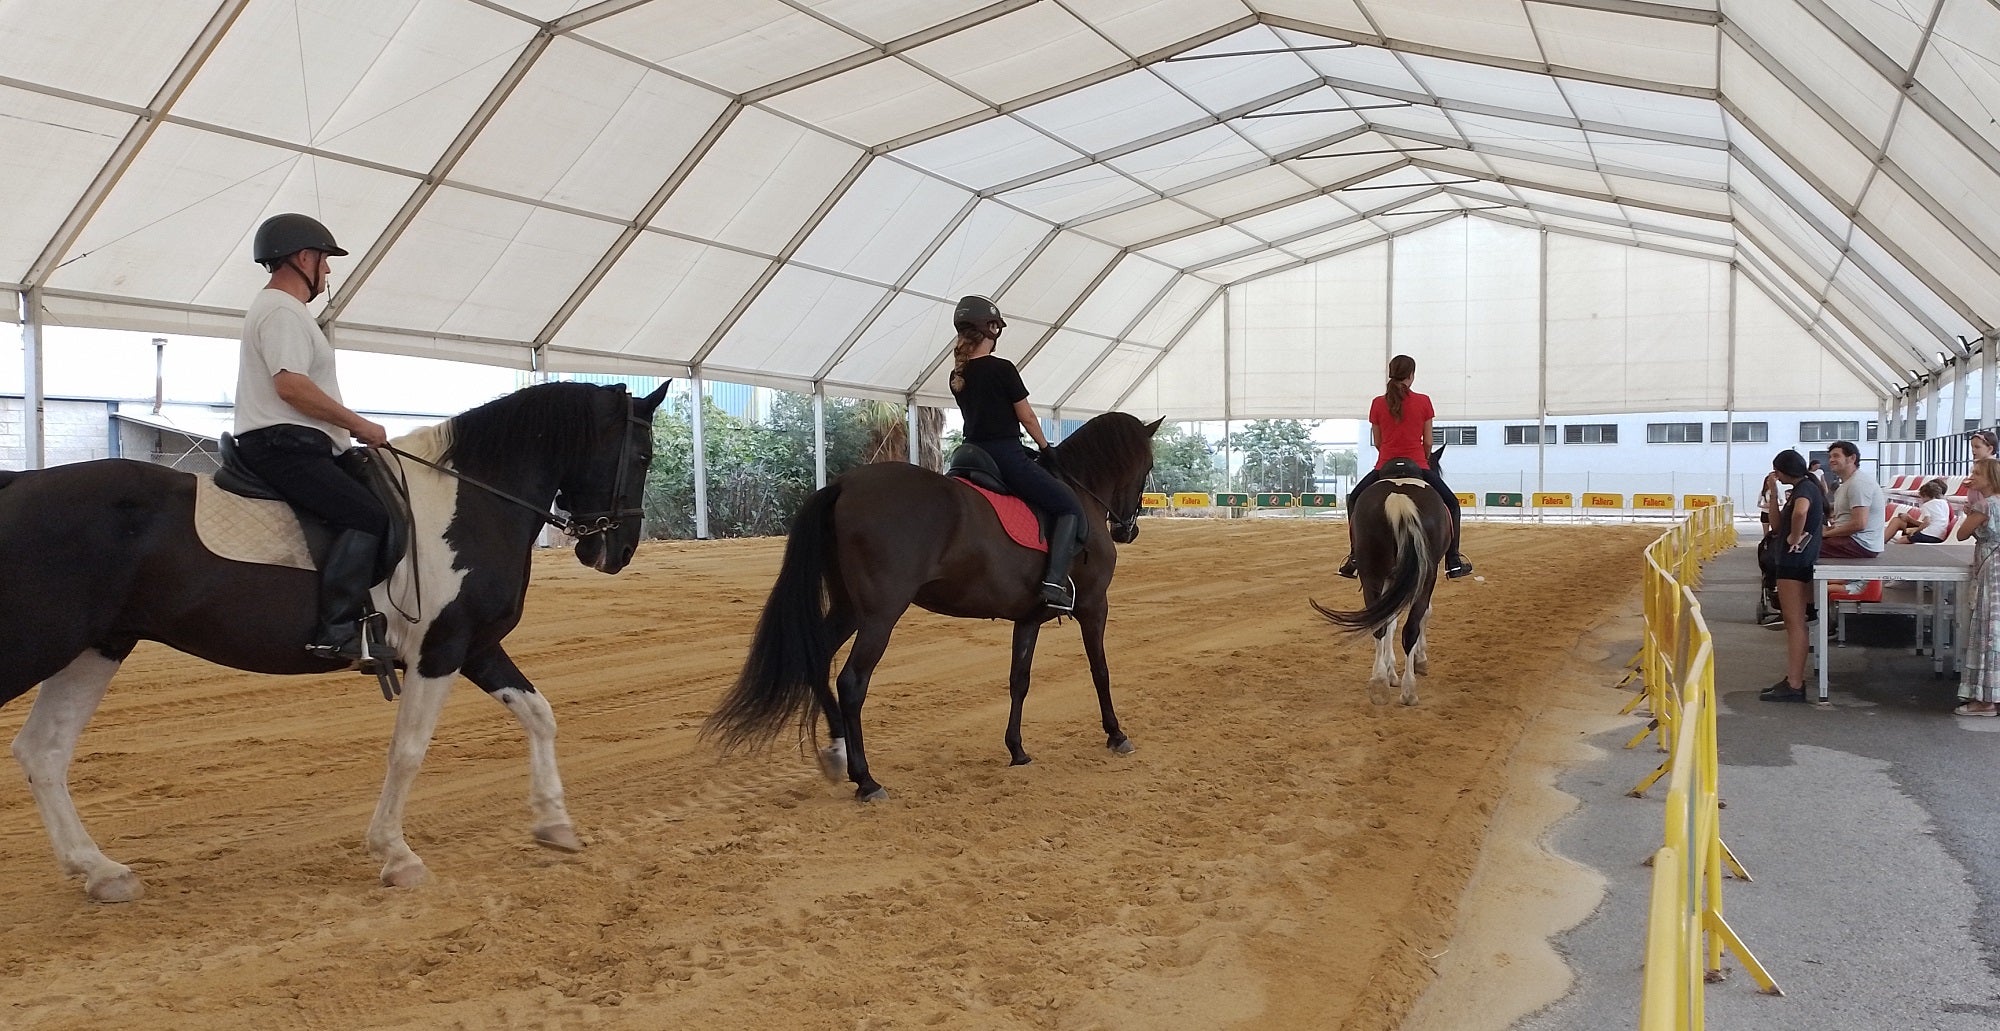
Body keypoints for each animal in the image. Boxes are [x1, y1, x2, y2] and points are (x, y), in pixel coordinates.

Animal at [0, 381, 672, 899]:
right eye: (642, 453)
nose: (614, 552)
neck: (471, 498)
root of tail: (17, 485)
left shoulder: (475, 646)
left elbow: (540, 715)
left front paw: (555, 824)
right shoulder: (440, 651)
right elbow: (408, 751)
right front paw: (396, 855)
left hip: (98, 648)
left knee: (44, 752)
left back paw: (100, 871)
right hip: (41, 644)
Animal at [708, 411, 1168, 799]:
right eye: (1146, 468)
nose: (1128, 530)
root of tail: (844, 485)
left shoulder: (1028, 618)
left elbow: (1019, 680)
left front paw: (1017, 750)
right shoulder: (1094, 605)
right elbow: (1100, 670)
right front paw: (1116, 734)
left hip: (848, 608)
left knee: (817, 660)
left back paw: (837, 752)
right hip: (879, 615)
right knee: (852, 682)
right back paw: (866, 779)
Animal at [1312, 447, 1456, 703]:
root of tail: (1399, 500)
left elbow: (1390, 621)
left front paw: (1390, 673)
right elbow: (1422, 614)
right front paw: (1419, 661)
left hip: (1372, 573)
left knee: (1379, 623)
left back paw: (1379, 683)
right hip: (1424, 574)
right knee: (1411, 627)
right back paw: (1407, 690)